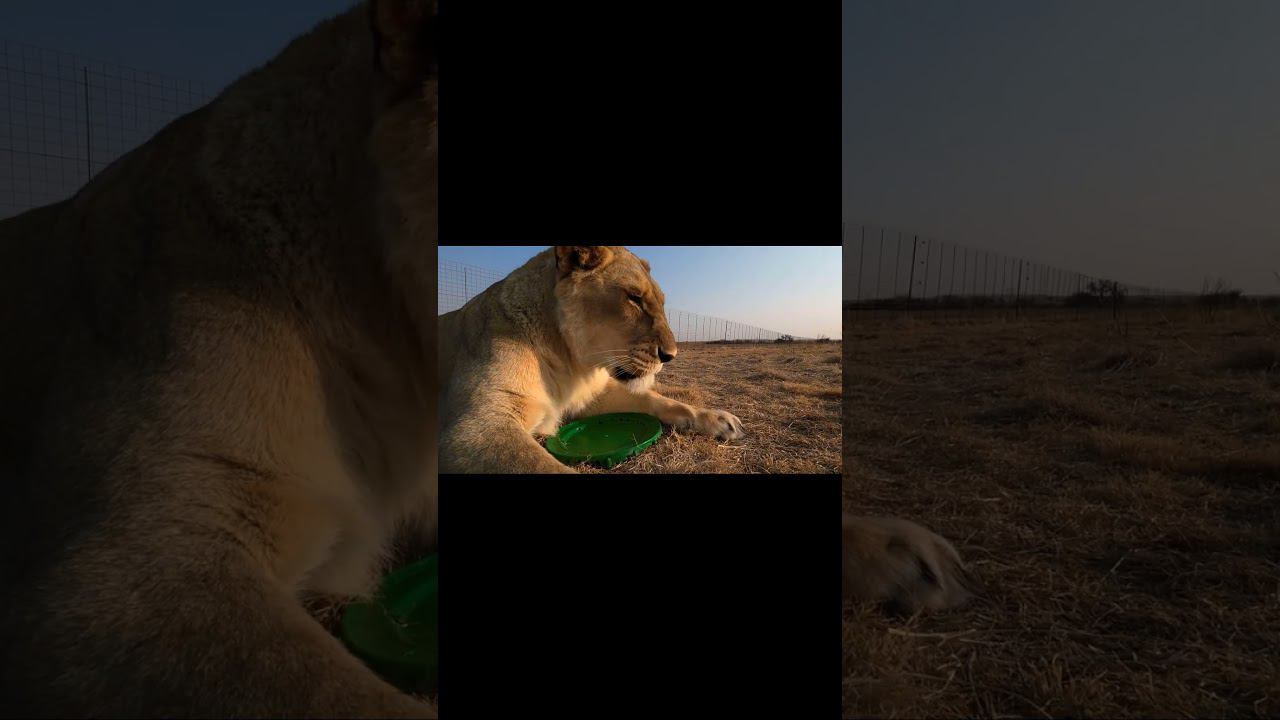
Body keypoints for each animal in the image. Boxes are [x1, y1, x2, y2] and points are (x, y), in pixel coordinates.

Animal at [438, 245, 745, 473]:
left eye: (660, 302)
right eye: (634, 298)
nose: (670, 356)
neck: (570, 363)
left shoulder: (595, 395)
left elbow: (660, 400)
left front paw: (719, 419)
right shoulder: (477, 428)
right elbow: (545, 467)